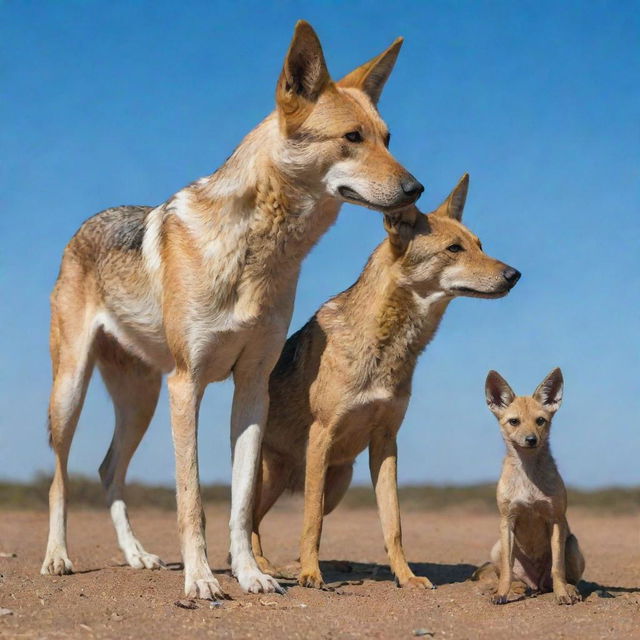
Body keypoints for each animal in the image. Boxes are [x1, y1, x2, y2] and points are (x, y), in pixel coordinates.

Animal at [41, 21, 424, 600]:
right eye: (352, 138)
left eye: (388, 138)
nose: (416, 188)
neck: (261, 255)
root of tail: (84, 224)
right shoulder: (188, 384)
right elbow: (192, 499)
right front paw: (201, 581)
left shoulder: (251, 387)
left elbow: (241, 504)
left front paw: (252, 575)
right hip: (73, 394)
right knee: (60, 478)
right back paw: (58, 557)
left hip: (140, 401)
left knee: (109, 471)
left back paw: (137, 556)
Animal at [250, 175, 520, 592]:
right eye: (454, 249)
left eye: (480, 245)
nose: (514, 275)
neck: (388, 348)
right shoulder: (323, 435)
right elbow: (310, 523)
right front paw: (312, 575)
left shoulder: (386, 442)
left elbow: (393, 524)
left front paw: (406, 577)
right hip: (273, 477)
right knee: (249, 521)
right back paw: (266, 566)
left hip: (337, 482)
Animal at [484, 368, 584, 604]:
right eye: (514, 421)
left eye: (540, 421)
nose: (531, 439)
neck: (528, 476)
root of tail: (536, 584)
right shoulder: (507, 520)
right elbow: (507, 569)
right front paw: (502, 593)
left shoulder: (555, 520)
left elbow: (558, 568)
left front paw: (562, 594)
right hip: (497, 547)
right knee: (512, 575)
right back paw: (514, 588)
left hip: (572, 544)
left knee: (569, 578)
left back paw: (570, 590)